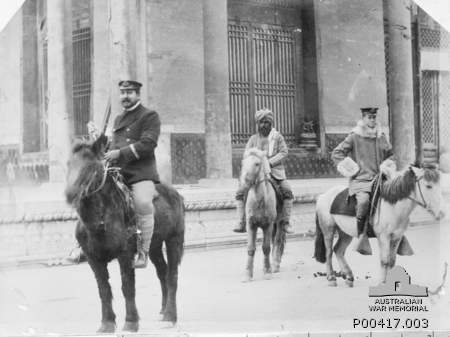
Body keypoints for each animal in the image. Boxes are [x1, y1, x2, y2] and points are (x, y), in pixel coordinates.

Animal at [64, 134, 185, 330]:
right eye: (69, 163)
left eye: (91, 167)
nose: (70, 195)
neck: (100, 220)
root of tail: (175, 193)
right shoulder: (93, 259)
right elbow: (104, 289)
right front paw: (107, 323)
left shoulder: (125, 255)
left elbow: (127, 287)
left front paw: (131, 322)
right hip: (153, 246)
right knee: (162, 271)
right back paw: (163, 310)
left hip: (174, 240)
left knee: (172, 275)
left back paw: (170, 316)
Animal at [314, 164, 444, 284]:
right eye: (428, 186)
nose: (441, 213)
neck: (392, 207)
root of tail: (323, 196)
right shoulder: (383, 237)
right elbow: (385, 261)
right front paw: (382, 282)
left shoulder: (396, 237)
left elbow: (392, 261)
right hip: (328, 229)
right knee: (329, 252)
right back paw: (331, 277)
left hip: (345, 233)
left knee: (338, 250)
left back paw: (349, 276)